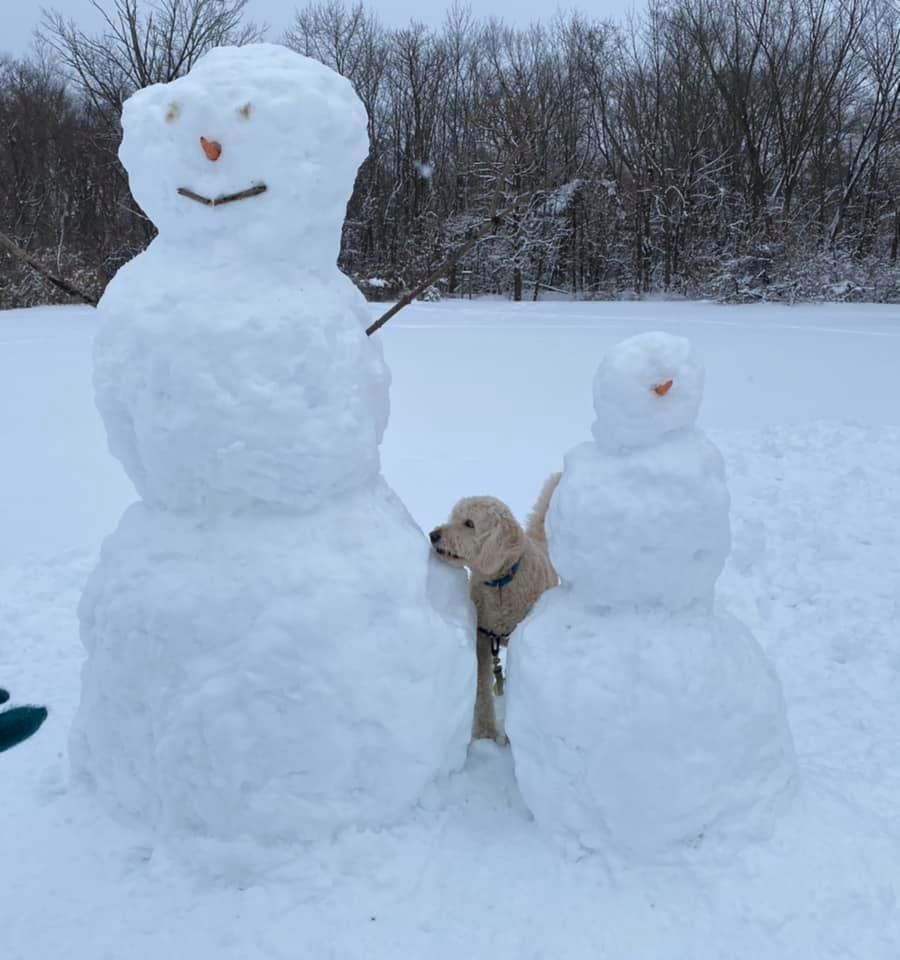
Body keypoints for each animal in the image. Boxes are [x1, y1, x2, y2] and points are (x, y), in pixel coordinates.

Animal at [428, 474, 560, 744]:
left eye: (469, 523)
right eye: (453, 516)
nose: (433, 534)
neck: (500, 583)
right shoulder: (482, 637)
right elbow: (481, 685)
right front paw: (485, 734)